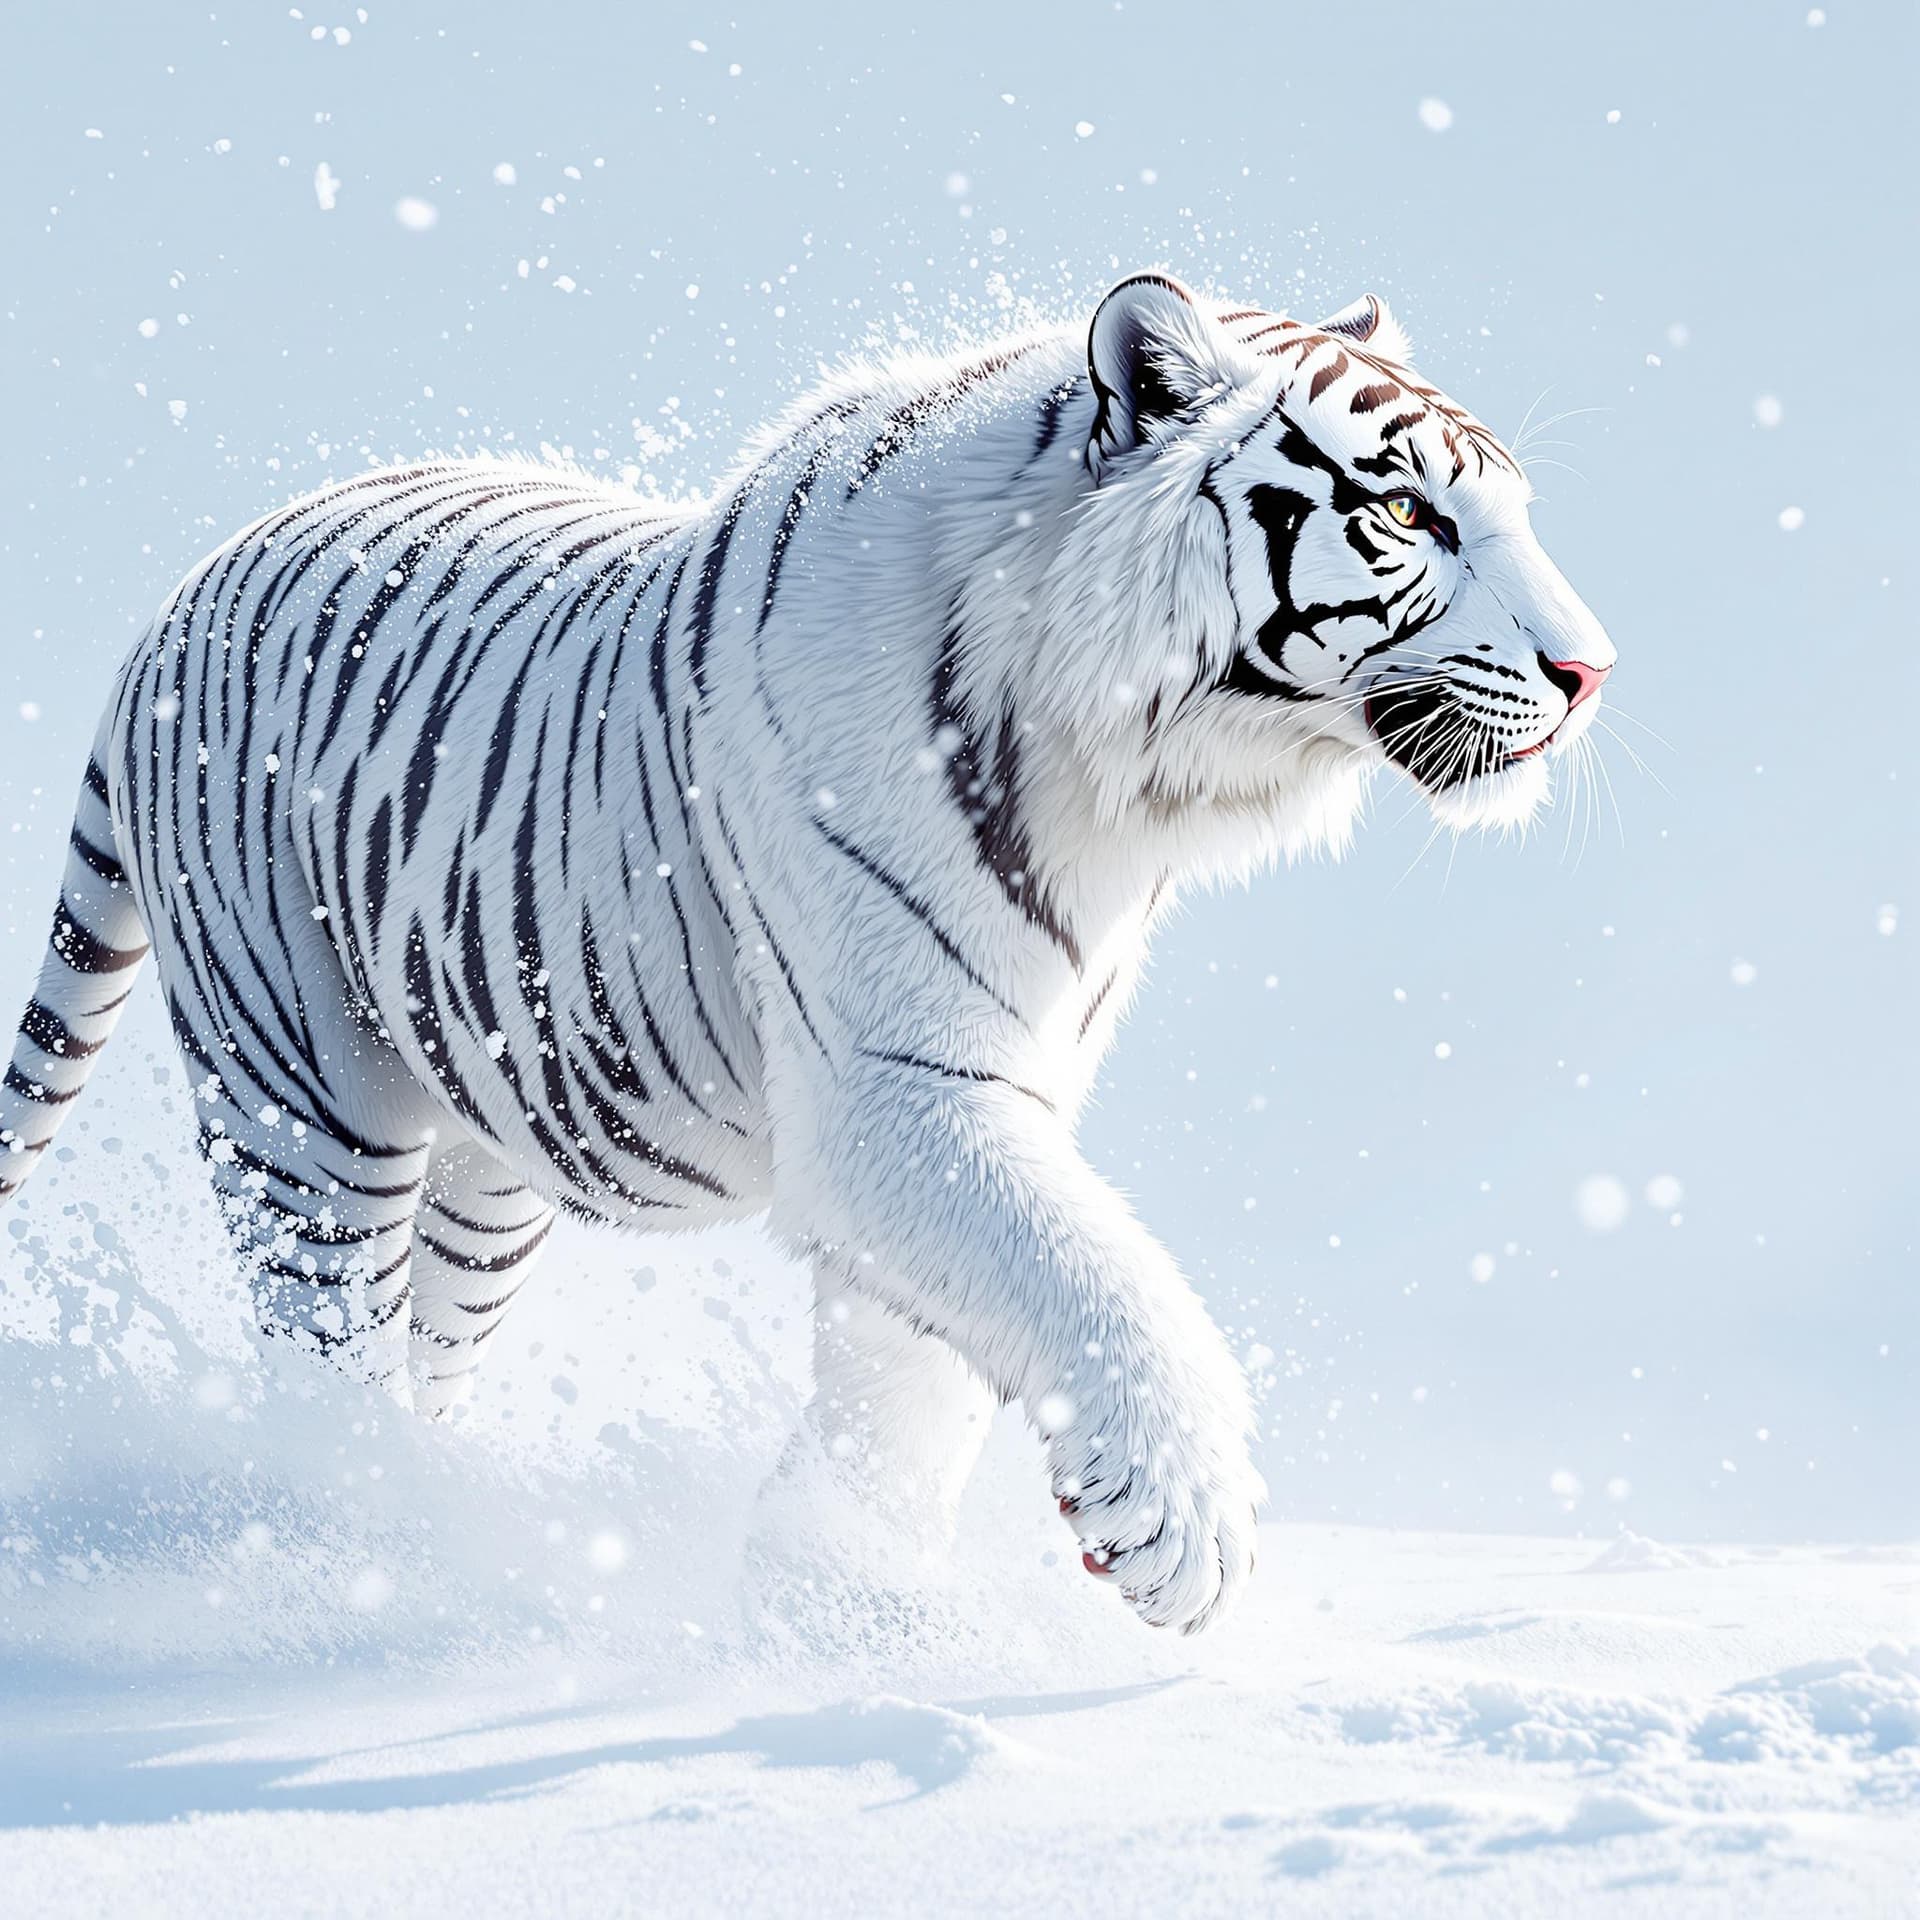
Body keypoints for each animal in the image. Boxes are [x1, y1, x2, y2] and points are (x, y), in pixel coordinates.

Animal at [0, 271, 1614, 1634]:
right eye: (1406, 515)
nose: (1593, 673)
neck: (1122, 782)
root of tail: (178, 595)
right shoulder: (897, 1079)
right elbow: (1081, 1268)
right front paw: (1179, 1525)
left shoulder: (985, 1084)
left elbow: (917, 1372)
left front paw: (838, 1604)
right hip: (307, 1104)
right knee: (316, 1354)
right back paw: (371, 1549)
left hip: (486, 1162)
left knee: (426, 1347)